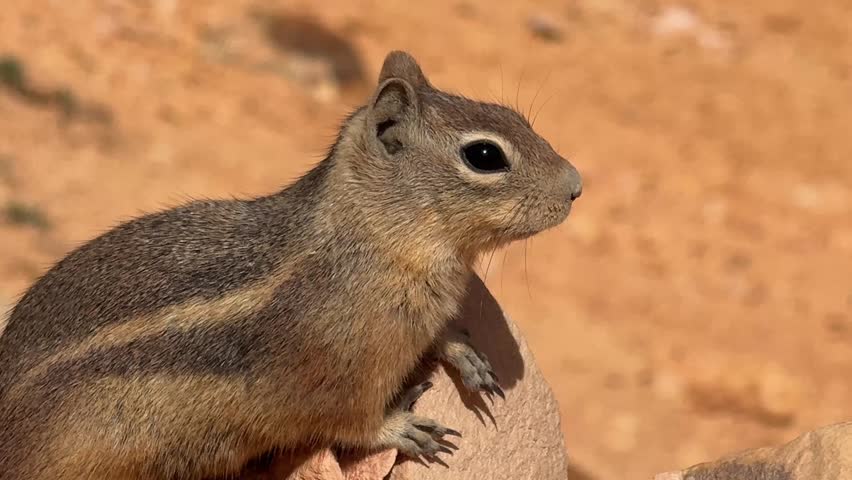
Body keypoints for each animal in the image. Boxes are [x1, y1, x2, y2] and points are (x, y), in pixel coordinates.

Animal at [0, 50, 582, 479]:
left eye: (518, 118)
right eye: (485, 156)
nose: (576, 186)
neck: (372, 240)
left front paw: (463, 352)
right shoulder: (340, 377)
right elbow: (352, 422)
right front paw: (403, 428)